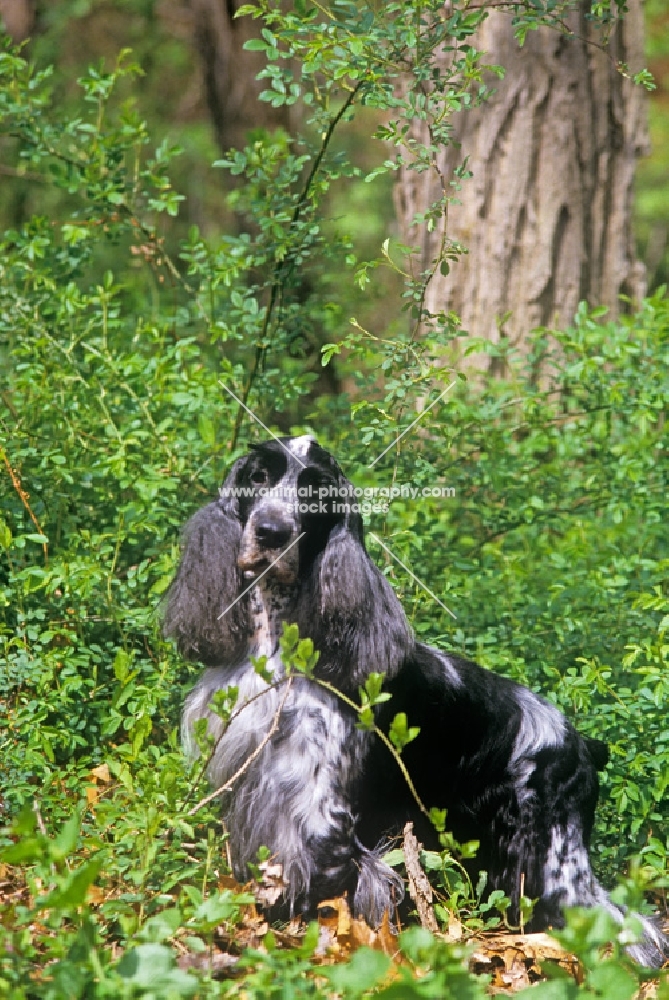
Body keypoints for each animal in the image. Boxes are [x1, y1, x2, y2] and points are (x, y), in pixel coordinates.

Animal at [163, 438, 668, 968]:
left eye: (316, 490)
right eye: (258, 476)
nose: (271, 531)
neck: (276, 641)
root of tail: (581, 742)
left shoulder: (320, 810)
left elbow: (322, 888)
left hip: (556, 860)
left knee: (625, 925)